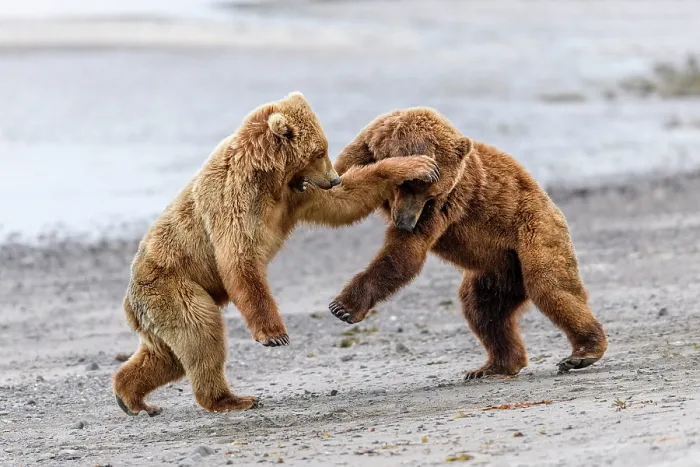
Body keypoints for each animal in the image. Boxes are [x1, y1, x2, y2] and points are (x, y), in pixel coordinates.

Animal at [113, 93, 440, 416]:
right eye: (319, 151)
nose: (333, 177)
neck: (269, 176)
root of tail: (130, 304)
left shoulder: (296, 193)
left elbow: (347, 199)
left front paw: (417, 165)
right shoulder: (235, 197)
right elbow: (240, 257)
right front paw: (274, 334)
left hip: (162, 308)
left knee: (168, 355)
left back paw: (131, 397)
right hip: (174, 287)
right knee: (201, 335)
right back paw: (231, 399)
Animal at [328, 107, 608, 379]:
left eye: (431, 194)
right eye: (406, 186)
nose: (406, 222)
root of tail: (552, 206)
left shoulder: (446, 202)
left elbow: (404, 253)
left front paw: (343, 307)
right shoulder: (361, 154)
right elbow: (340, 189)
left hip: (534, 231)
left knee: (549, 286)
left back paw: (582, 353)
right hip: (499, 269)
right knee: (482, 308)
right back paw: (495, 366)